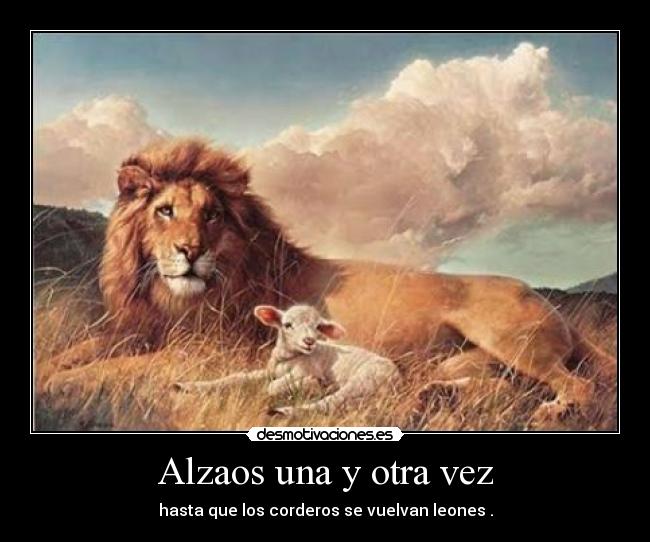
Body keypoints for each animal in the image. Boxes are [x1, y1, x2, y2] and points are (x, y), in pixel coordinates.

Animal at [40, 138, 617, 427]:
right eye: (165, 211)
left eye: (212, 216)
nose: (191, 252)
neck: (169, 298)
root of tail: (550, 304)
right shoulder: (135, 333)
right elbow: (71, 358)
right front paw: (50, 372)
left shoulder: (205, 350)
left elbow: (105, 372)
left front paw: (57, 387)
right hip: (464, 361)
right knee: (498, 387)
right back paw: (433, 399)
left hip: (511, 340)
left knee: (578, 385)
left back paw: (554, 411)